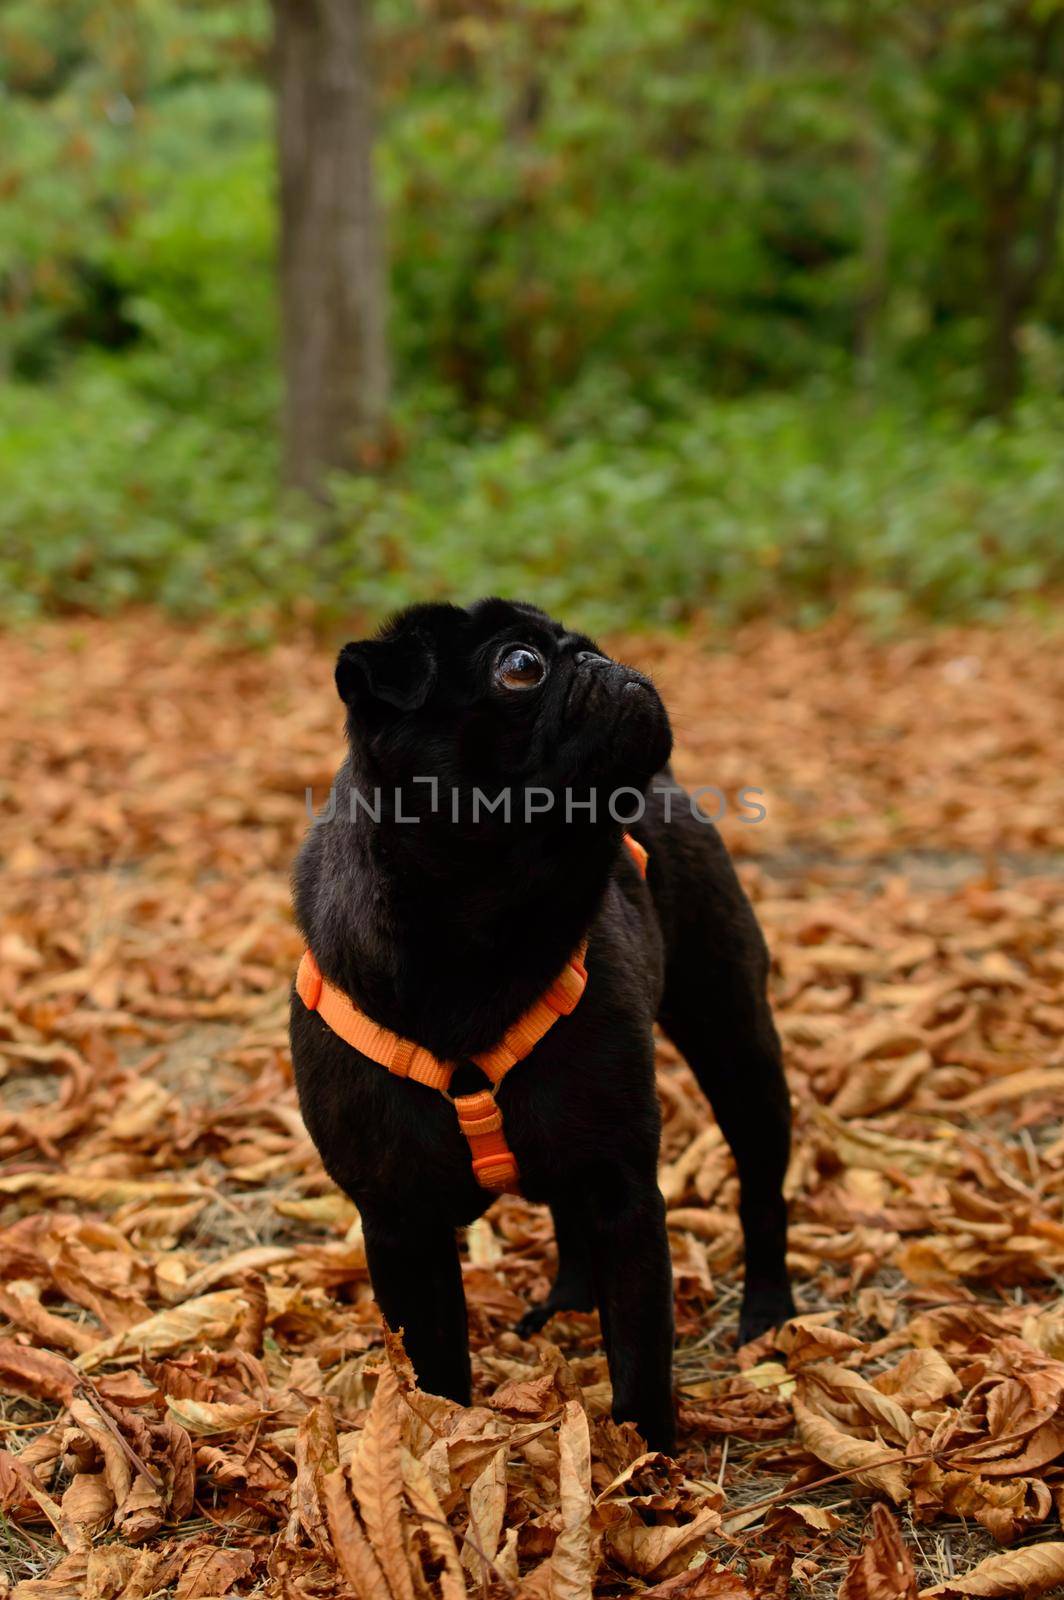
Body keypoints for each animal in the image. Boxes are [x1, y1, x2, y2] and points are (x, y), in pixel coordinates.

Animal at [288, 601, 787, 1452]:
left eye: (586, 646)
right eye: (520, 665)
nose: (604, 662)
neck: (490, 932)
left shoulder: (625, 1189)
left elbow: (640, 1348)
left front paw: (646, 1459)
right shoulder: (400, 1223)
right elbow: (434, 1360)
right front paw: (440, 1443)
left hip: (738, 1043)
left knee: (762, 1187)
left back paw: (769, 1314)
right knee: (565, 1212)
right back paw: (567, 1305)